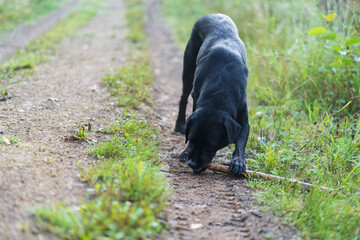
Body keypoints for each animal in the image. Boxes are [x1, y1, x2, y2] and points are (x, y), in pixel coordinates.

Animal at [175, 13, 250, 174]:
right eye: (191, 139)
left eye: (210, 145)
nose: (192, 163)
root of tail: (212, 15)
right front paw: (185, 151)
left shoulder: (243, 117)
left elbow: (241, 141)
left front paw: (238, 161)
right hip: (188, 68)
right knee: (183, 98)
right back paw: (179, 124)